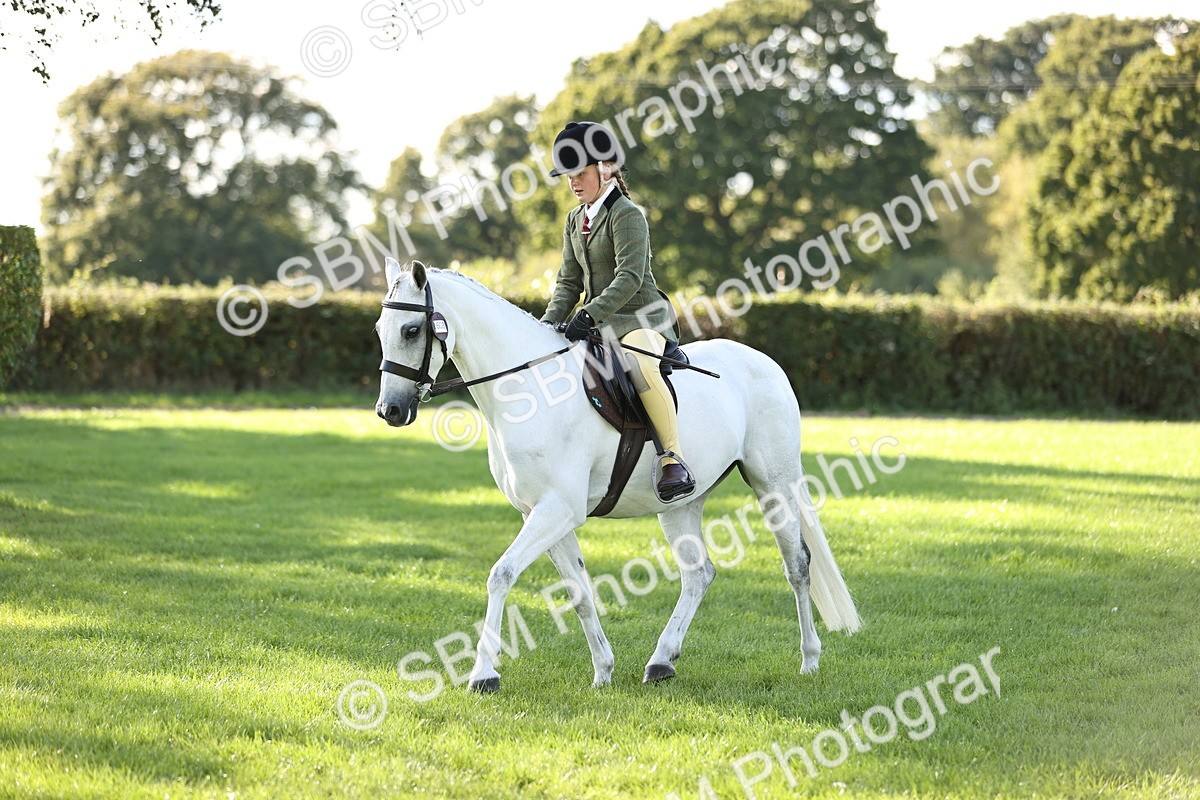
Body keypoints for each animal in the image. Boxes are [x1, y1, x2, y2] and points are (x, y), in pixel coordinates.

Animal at [374, 258, 861, 693]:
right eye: (380, 330)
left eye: (411, 330)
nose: (389, 411)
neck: (529, 389)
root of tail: (766, 362)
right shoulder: (543, 513)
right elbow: (579, 592)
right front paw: (603, 671)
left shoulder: (556, 509)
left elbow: (502, 574)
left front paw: (483, 675)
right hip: (681, 504)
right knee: (699, 573)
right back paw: (661, 662)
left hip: (773, 485)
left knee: (797, 565)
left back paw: (809, 660)